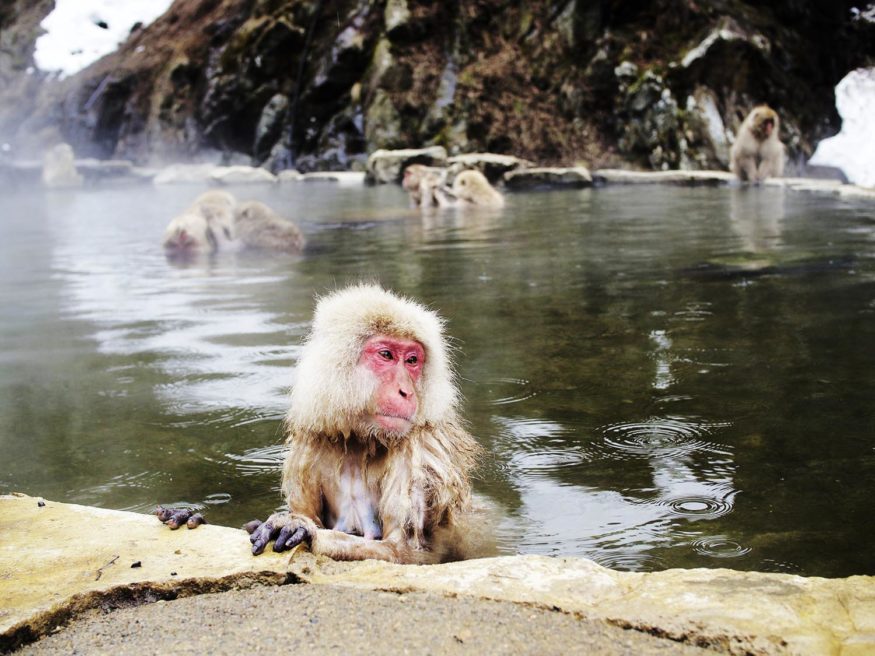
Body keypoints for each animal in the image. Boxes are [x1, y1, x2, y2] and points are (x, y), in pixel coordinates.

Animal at [242, 284, 482, 564]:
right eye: (386, 355)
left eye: (412, 360)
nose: (406, 392)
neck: (364, 440)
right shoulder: (310, 440)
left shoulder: (420, 455)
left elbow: (406, 551)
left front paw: (306, 531)